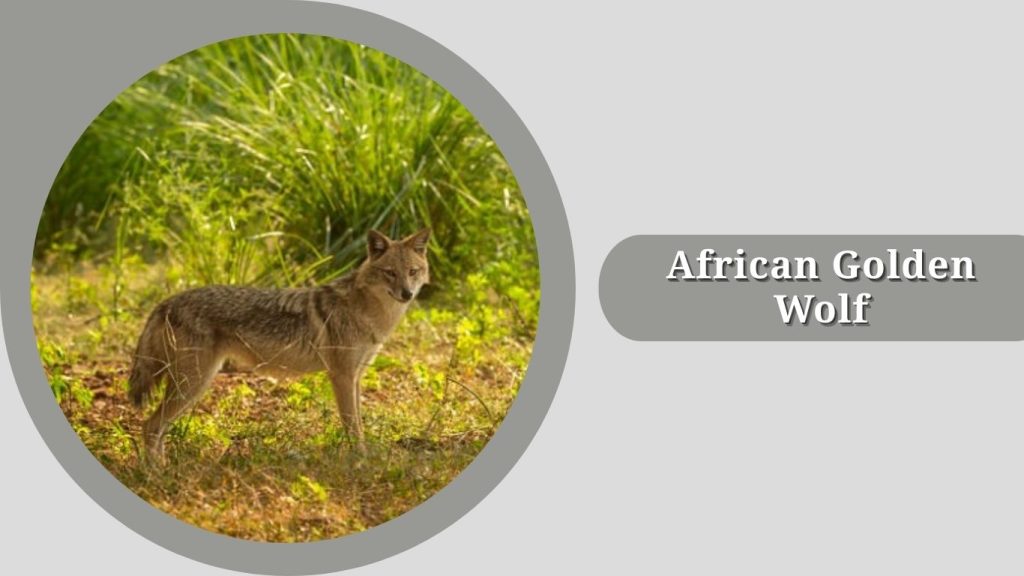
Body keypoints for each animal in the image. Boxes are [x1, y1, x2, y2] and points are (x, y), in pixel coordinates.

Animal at [127, 228, 431, 463]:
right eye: (390, 273)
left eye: (412, 271)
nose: (407, 294)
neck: (368, 313)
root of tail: (166, 302)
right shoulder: (341, 376)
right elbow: (352, 425)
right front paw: (360, 460)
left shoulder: (355, 376)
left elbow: (359, 422)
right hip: (193, 384)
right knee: (150, 426)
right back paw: (158, 472)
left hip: (191, 385)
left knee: (156, 427)